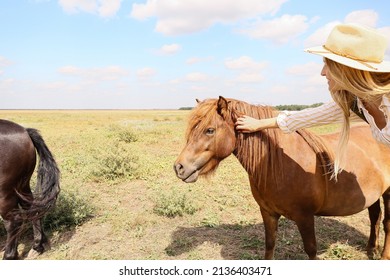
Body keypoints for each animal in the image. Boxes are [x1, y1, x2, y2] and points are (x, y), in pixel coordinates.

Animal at [0, 119, 59, 260]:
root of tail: (25, 131)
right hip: (22, 186)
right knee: (32, 209)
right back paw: (37, 245)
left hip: (5, 192)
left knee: (13, 222)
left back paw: (9, 256)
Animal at [174, 96, 390, 260]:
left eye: (209, 130)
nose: (179, 167)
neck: (277, 165)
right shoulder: (268, 213)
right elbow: (270, 246)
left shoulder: (305, 217)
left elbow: (311, 250)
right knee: (374, 217)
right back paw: (371, 249)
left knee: (386, 223)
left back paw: (382, 256)